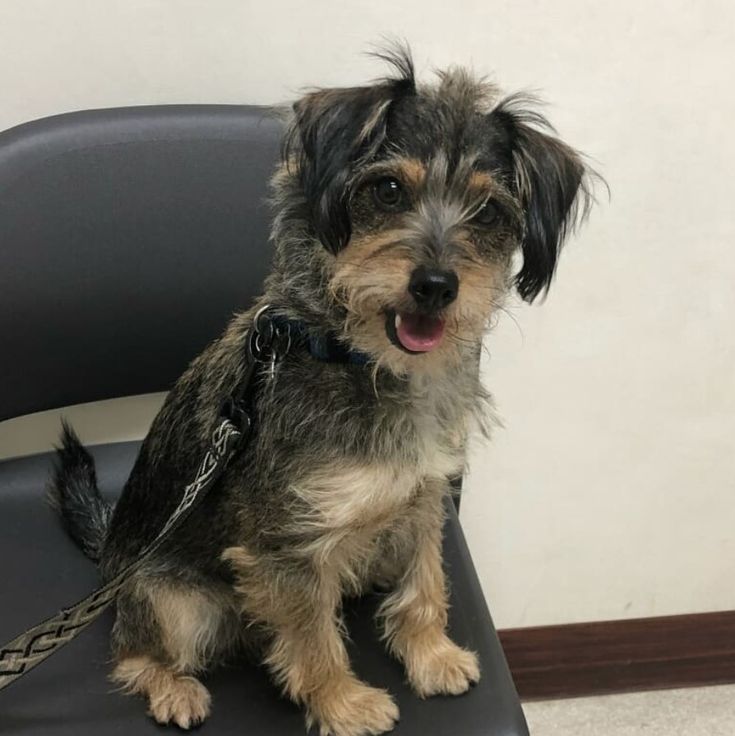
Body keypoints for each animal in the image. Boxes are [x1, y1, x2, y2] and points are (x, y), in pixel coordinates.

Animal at [50, 46, 592, 736]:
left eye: (490, 212)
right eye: (387, 190)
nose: (436, 285)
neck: (366, 362)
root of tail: (111, 558)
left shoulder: (424, 501)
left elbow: (427, 583)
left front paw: (431, 654)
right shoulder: (289, 546)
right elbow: (312, 638)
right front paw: (343, 704)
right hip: (177, 604)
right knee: (133, 650)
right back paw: (172, 689)